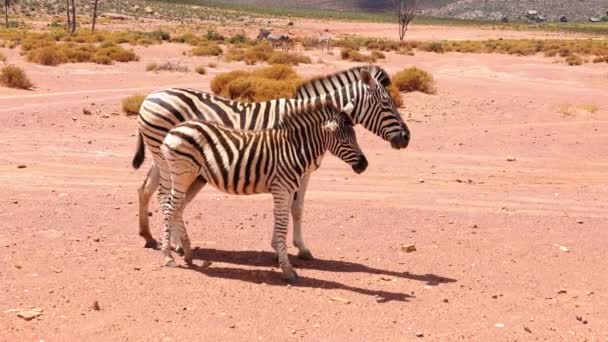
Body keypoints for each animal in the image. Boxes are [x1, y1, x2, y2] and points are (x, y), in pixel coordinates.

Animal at [132, 65, 408, 260]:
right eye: (387, 104)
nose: (406, 138)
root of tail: (150, 96)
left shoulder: (300, 170)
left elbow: (295, 208)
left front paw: (292, 247)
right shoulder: (294, 168)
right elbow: (293, 208)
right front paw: (293, 248)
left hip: (163, 155)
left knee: (146, 188)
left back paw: (149, 237)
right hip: (165, 154)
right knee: (164, 195)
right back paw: (174, 243)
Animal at [159, 100, 366, 282]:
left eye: (356, 137)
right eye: (344, 140)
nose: (364, 165)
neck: (294, 149)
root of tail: (176, 128)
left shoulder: (288, 188)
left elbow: (283, 218)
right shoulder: (281, 188)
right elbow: (282, 225)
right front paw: (287, 269)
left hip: (194, 178)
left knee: (178, 209)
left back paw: (188, 254)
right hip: (181, 174)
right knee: (170, 208)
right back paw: (168, 256)